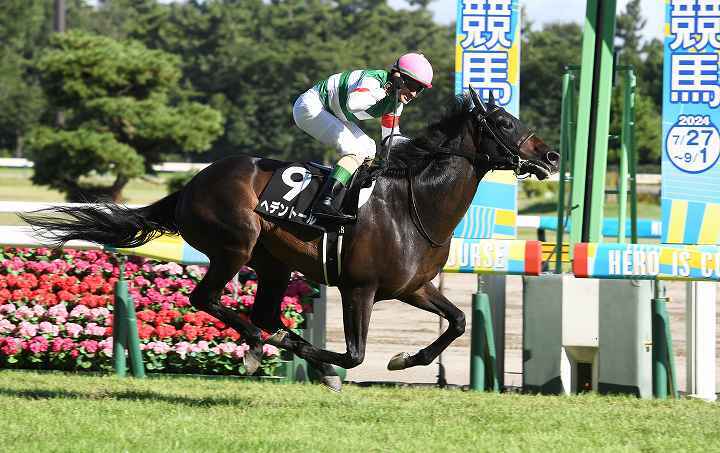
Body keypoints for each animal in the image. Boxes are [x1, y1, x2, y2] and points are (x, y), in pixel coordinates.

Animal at [19, 88, 560, 392]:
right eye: (505, 122)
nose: (552, 156)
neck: (413, 204)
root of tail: (191, 184)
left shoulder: (412, 286)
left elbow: (458, 321)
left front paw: (406, 358)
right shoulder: (359, 288)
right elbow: (353, 355)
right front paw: (330, 369)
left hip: (273, 263)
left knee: (262, 310)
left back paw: (276, 342)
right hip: (234, 245)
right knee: (208, 299)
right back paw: (262, 345)